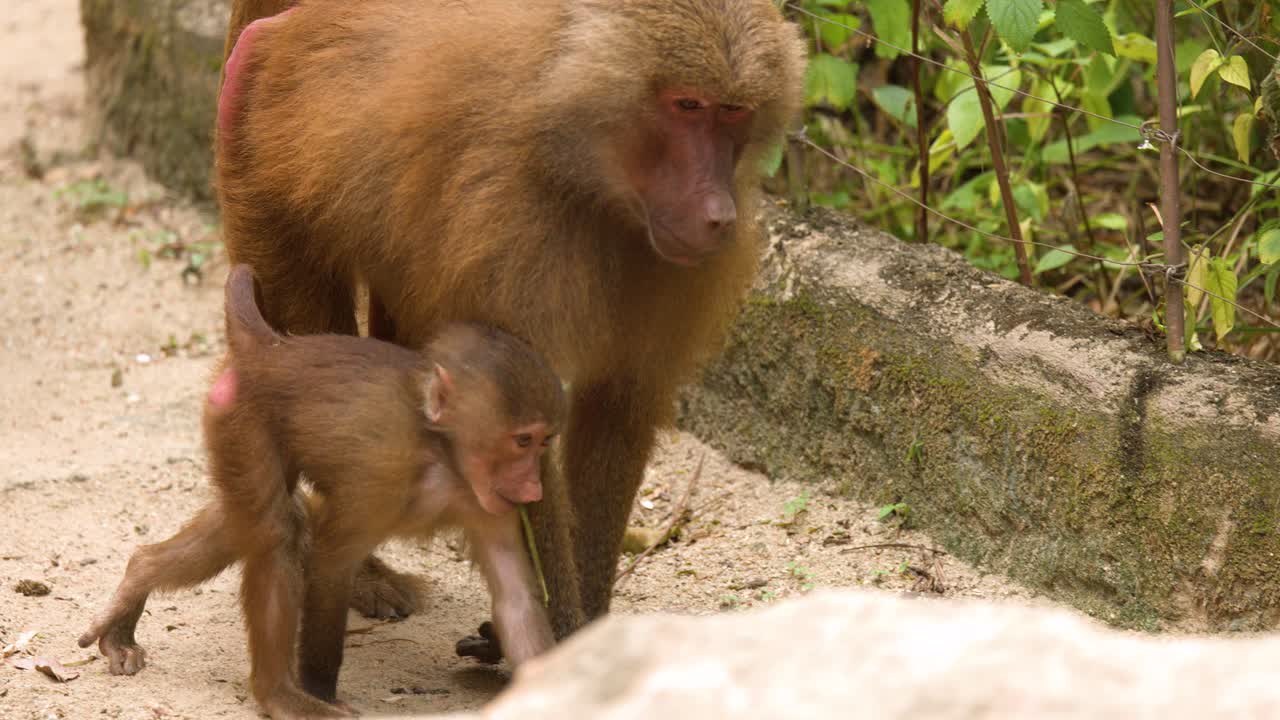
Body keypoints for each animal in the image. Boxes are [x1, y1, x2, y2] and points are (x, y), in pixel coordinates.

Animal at [78, 264, 564, 719]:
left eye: (544, 441)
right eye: (522, 441)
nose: (533, 485)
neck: (443, 457)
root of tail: (272, 347)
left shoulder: (489, 504)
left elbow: (515, 600)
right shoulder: (381, 474)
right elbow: (330, 566)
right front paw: (319, 689)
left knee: (245, 522)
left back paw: (140, 574)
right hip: (240, 420)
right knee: (276, 530)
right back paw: (279, 694)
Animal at [216, 0, 808, 657]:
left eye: (733, 112)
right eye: (687, 106)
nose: (717, 215)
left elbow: (619, 404)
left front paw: (586, 632)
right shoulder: (510, 225)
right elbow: (508, 424)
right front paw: (563, 639)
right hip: (260, 173)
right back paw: (356, 571)